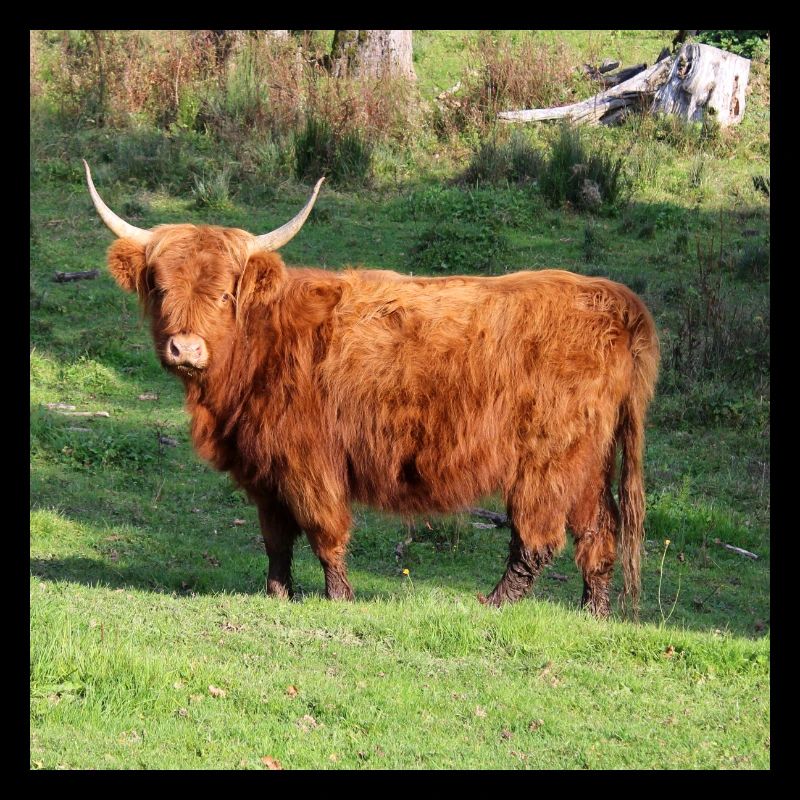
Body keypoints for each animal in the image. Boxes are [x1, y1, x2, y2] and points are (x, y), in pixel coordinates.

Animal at [83, 160, 659, 617]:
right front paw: (277, 593)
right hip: (587, 459)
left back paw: (492, 603)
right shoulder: (264, 467)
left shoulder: (308, 460)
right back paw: (592, 611)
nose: (185, 349)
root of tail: (614, 298)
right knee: (598, 531)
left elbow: (323, 531)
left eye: (225, 294)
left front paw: (339, 597)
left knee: (538, 539)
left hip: (547, 460)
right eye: (160, 288)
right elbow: (275, 537)